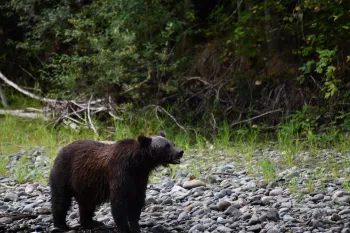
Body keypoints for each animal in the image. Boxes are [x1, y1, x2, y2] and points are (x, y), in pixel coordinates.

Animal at [50, 132, 185, 232]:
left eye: (173, 143)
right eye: (166, 146)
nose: (180, 151)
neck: (138, 163)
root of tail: (61, 149)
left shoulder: (139, 178)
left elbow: (137, 201)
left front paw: (136, 227)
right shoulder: (120, 172)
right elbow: (119, 202)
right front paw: (125, 228)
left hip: (85, 184)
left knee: (87, 203)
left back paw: (92, 223)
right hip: (64, 172)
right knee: (61, 199)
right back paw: (62, 225)